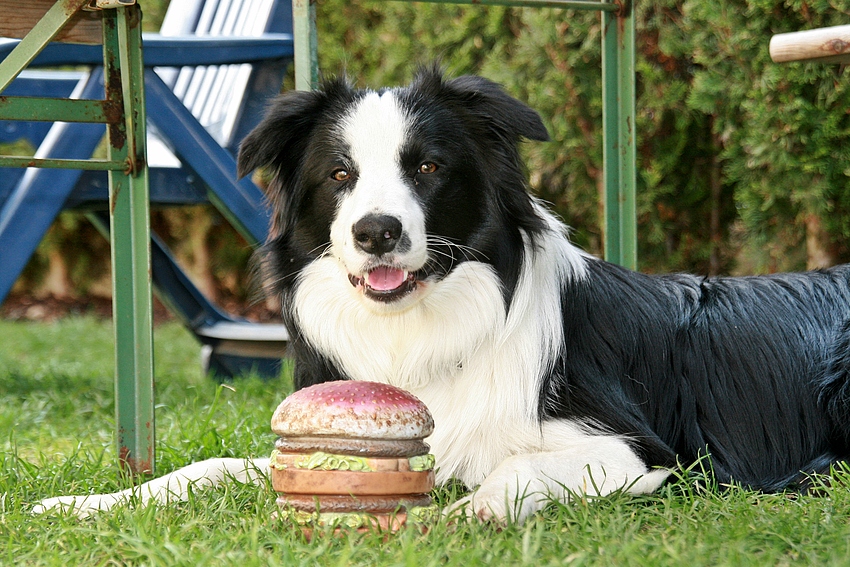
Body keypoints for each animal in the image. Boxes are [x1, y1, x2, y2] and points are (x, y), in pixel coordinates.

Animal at [36, 70, 848, 524]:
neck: (421, 333)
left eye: (427, 167)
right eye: (339, 175)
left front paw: (467, 513)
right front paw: (86, 503)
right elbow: (205, 468)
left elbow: (513, 469)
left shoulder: (638, 450)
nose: (377, 231)